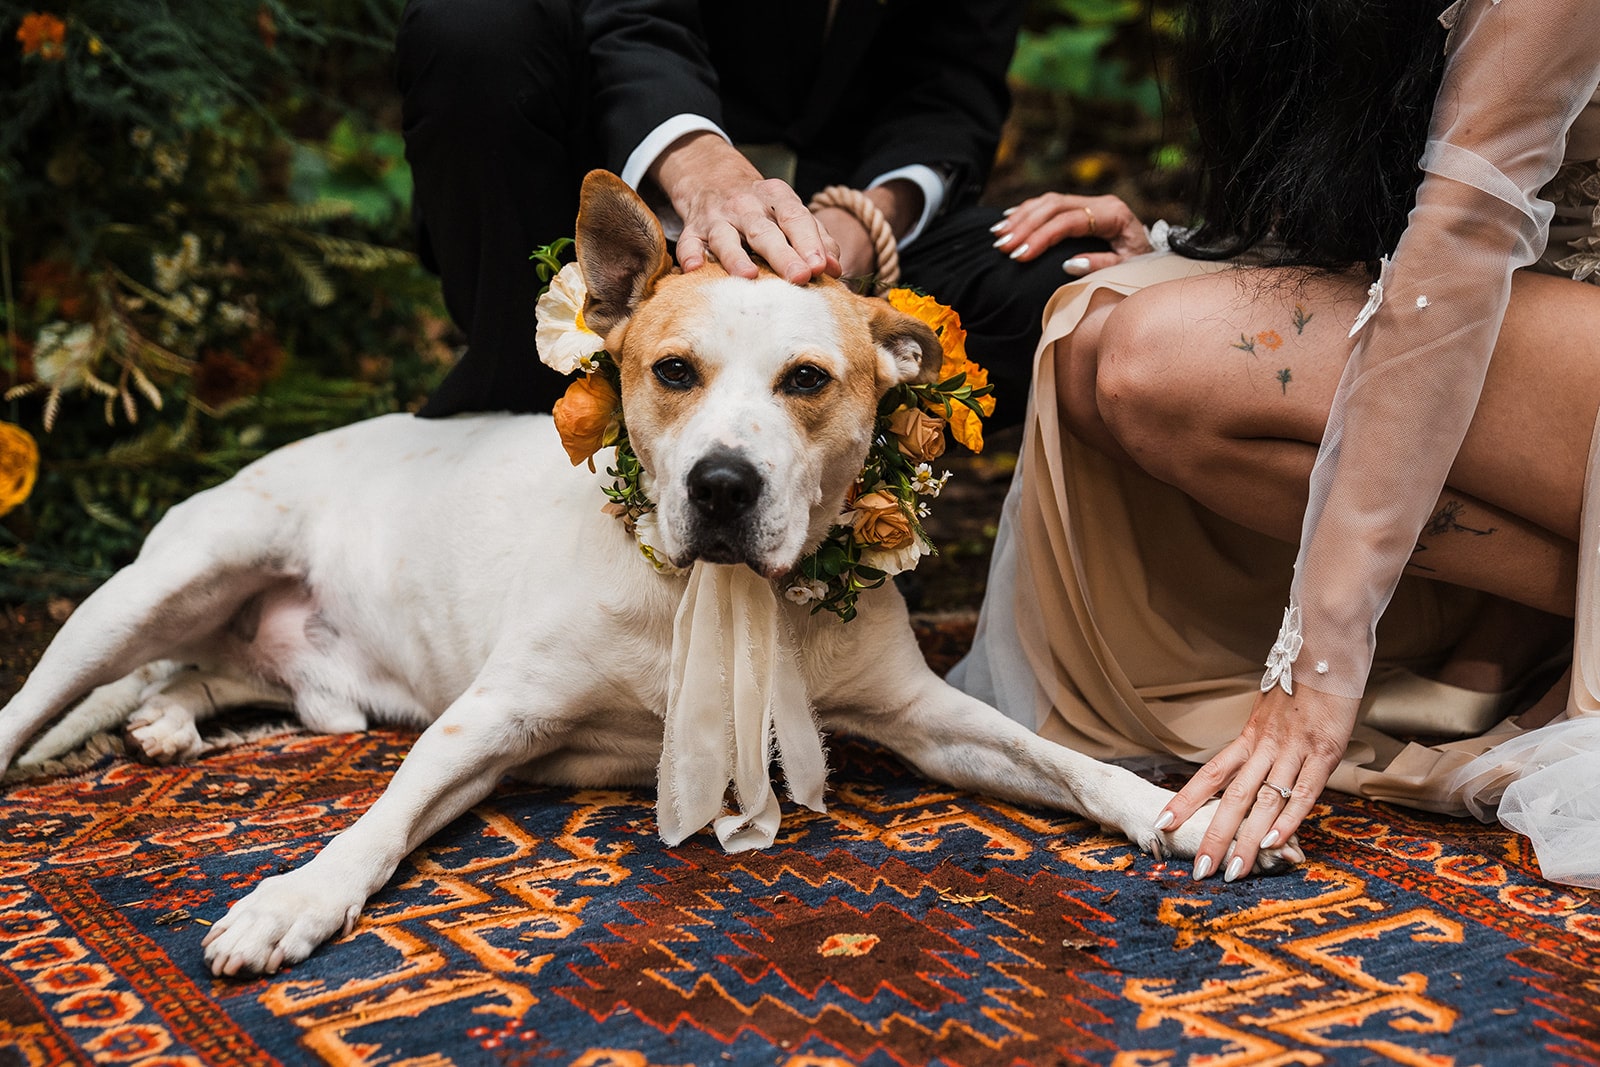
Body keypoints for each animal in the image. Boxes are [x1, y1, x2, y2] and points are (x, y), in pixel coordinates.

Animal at [0, 173, 1292, 979]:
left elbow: (1064, 761)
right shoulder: (488, 721)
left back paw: (170, 721)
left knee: (203, 673)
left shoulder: (923, 718)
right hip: (161, 582)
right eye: (671, 369)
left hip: (309, 678)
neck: (715, 592)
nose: (720, 485)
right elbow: (377, 822)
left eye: (807, 379)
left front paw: (1182, 810)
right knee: (48, 693)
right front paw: (294, 899)